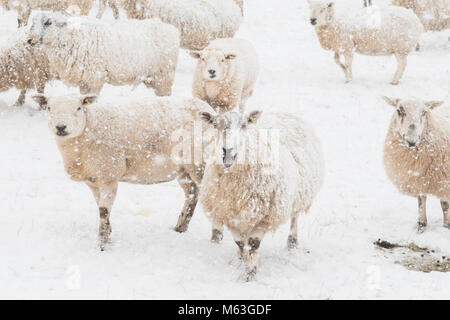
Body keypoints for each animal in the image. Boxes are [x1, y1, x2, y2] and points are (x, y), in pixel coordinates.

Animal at [26, 11, 179, 96]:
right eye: (32, 23)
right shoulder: (84, 80)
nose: (29, 40)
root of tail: (172, 29)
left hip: (164, 75)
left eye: (48, 22)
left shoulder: (95, 77)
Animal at [33, 94, 213, 251]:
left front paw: (102, 244)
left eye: (78, 108)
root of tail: (208, 108)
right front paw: (108, 232)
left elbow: (103, 211)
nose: (61, 127)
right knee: (192, 194)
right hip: (184, 169)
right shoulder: (93, 180)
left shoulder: (109, 175)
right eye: (49, 107)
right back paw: (180, 227)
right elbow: (100, 206)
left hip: (201, 164)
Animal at [198, 110, 324, 280]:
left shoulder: (265, 217)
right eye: (215, 125)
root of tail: (284, 112)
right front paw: (243, 259)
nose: (227, 150)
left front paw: (250, 272)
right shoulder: (228, 215)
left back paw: (292, 242)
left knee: (294, 217)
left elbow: (253, 243)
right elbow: (240, 242)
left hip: (298, 195)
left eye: (244, 125)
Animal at [382, 96, 450, 231]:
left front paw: (446, 226)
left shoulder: (443, 180)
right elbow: (420, 201)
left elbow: (444, 204)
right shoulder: (418, 178)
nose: (411, 140)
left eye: (424, 112)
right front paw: (421, 225)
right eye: (399, 110)